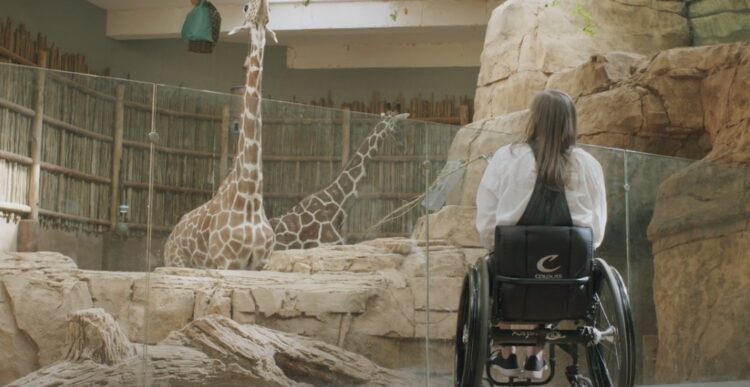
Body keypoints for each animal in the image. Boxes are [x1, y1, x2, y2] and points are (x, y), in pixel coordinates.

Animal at [163, 0, 278, 272]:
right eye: (245, 7)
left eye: (271, 9)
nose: (260, 5)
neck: (250, 196)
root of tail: (171, 236)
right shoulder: (226, 262)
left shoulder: (260, 264)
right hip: (177, 263)